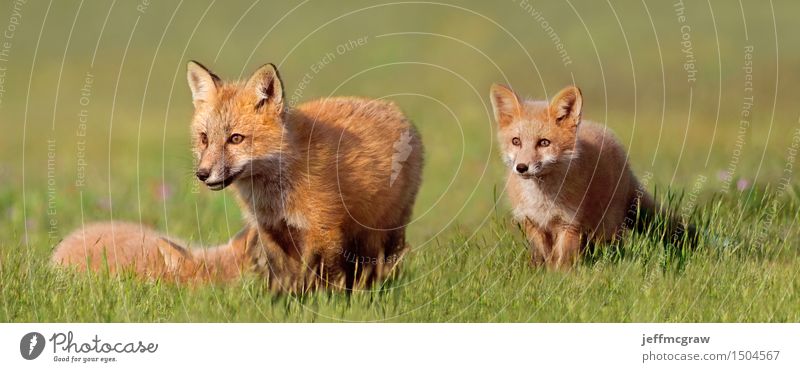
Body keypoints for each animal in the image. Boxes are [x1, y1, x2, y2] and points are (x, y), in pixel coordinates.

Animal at [186, 60, 424, 290]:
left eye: (236, 139)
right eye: (204, 139)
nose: (202, 174)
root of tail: (393, 109)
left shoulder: (323, 230)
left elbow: (322, 281)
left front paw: (326, 301)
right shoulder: (271, 231)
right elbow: (284, 281)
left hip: (385, 231)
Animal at [488, 84, 692, 268]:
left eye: (544, 143)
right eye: (516, 141)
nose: (521, 167)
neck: (542, 199)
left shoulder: (570, 223)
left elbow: (563, 260)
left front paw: (560, 277)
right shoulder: (532, 222)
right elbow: (544, 257)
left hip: (607, 227)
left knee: (611, 248)